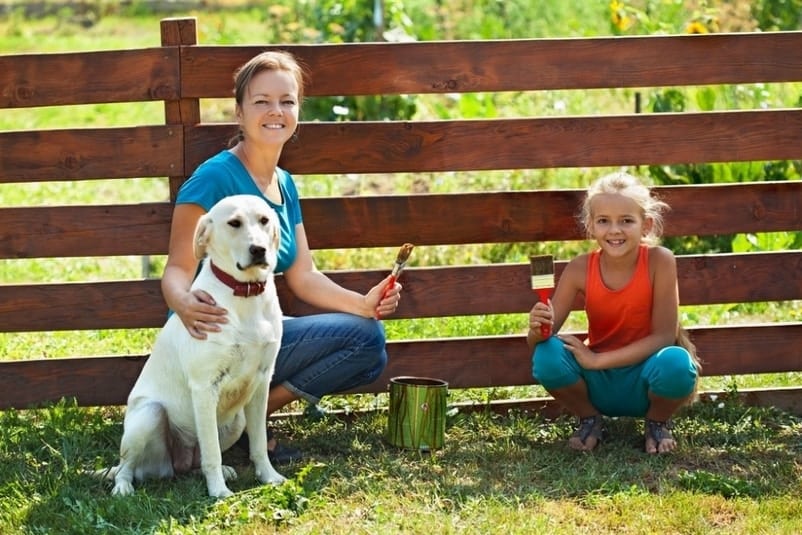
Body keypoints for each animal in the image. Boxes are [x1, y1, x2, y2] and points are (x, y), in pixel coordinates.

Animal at [98, 195, 284, 500]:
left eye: (264, 220)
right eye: (234, 223)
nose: (258, 249)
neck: (244, 294)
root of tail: (174, 465)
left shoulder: (261, 382)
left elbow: (258, 443)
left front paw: (269, 477)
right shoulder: (205, 387)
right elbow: (212, 454)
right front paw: (219, 492)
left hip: (236, 421)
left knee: (196, 462)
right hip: (149, 415)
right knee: (128, 466)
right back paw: (123, 487)